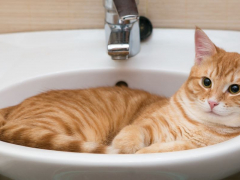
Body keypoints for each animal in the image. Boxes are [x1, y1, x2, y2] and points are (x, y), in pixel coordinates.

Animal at [0, 27, 240, 155]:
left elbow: (167, 148)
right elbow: (132, 132)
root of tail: (12, 108)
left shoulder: (189, 146)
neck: (196, 124)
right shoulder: (146, 124)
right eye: (207, 82)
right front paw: (126, 148)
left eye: (234, 89)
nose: (212, 103)